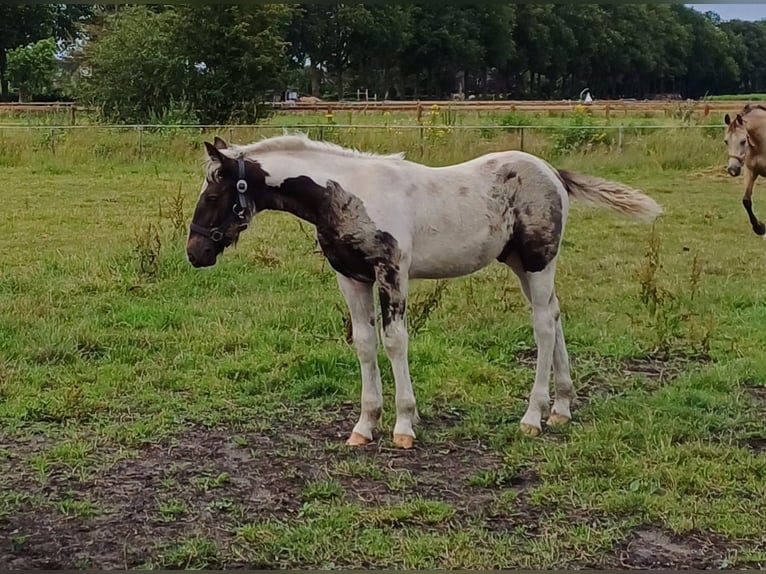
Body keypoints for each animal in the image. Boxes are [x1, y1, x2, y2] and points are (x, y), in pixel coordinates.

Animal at [184, 134, 660, 450]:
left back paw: (533, 417)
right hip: (521, 264)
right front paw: (364, 426)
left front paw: (403, 426)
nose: (195, 253)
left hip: (539, 260)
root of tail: (552, 172)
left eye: (213, 194)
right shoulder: (351, 277)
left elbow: (394, 342)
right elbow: (364, 343)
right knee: (555, 315)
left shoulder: (392, 272)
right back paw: (560, 409)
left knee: (543, 326)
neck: (346, 195)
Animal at [728, 103, 766, 236]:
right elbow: (746, 200)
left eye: (743, 141)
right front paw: (759, 228)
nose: (732, 169)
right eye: (725, 141)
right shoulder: (750, 171)